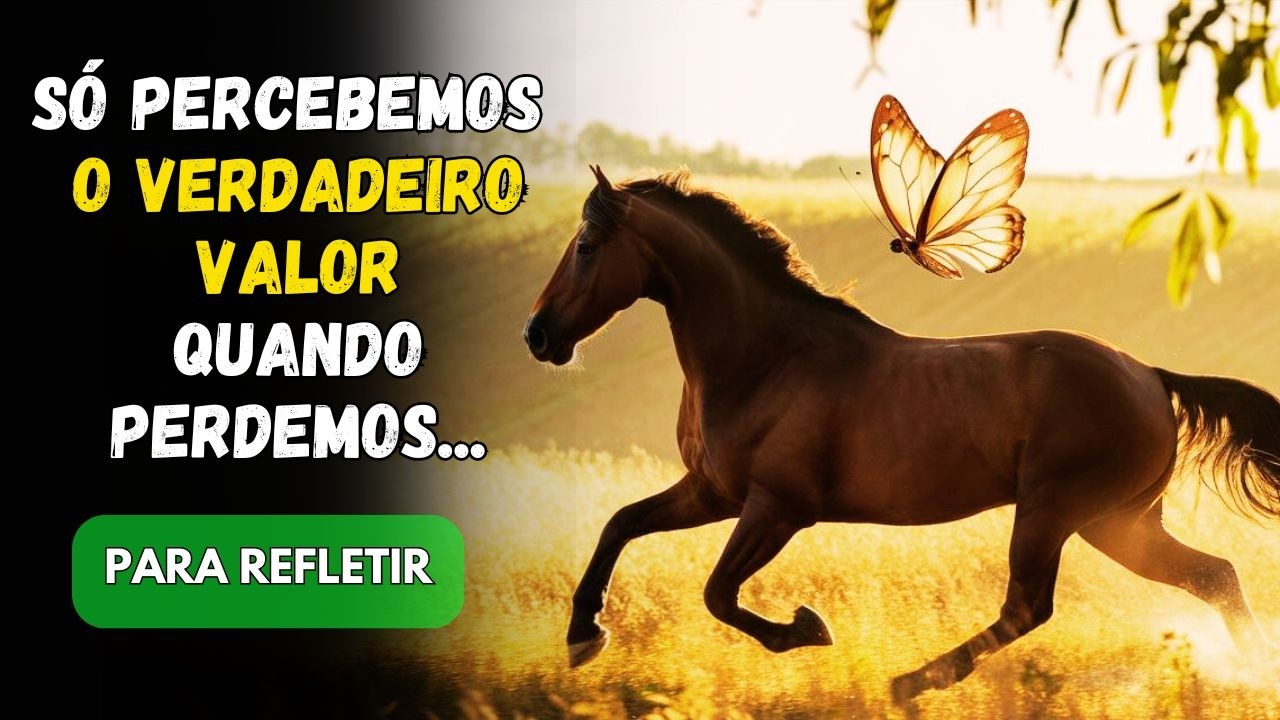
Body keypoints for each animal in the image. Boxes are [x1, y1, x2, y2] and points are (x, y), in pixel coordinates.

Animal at [523, 167, 1280, 702]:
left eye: (586, 245)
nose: (537, 336)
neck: (768, 358)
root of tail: (1150, 376)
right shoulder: (712, 492)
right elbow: (621, 524)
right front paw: (582, 636)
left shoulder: (777, 508)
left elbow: (717, 593)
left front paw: (808, 628)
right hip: (1116, 522)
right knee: (1213, 575)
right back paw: (1254, 674)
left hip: (1056, 512)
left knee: (1028, 607)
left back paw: (910, 682)